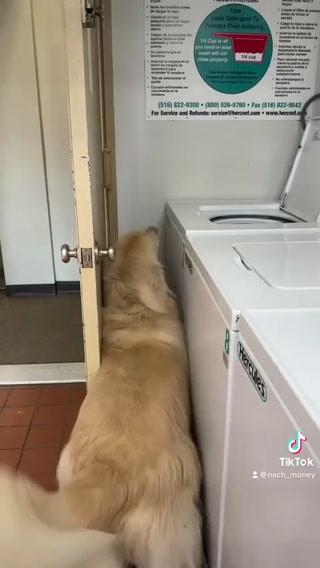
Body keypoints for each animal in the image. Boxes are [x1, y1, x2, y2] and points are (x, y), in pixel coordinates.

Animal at [54, 227, 200, 568]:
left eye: (129, 236)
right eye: (148, 240)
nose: (154, 228)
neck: (135, 310)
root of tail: (106, 476)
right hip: (176, 526)